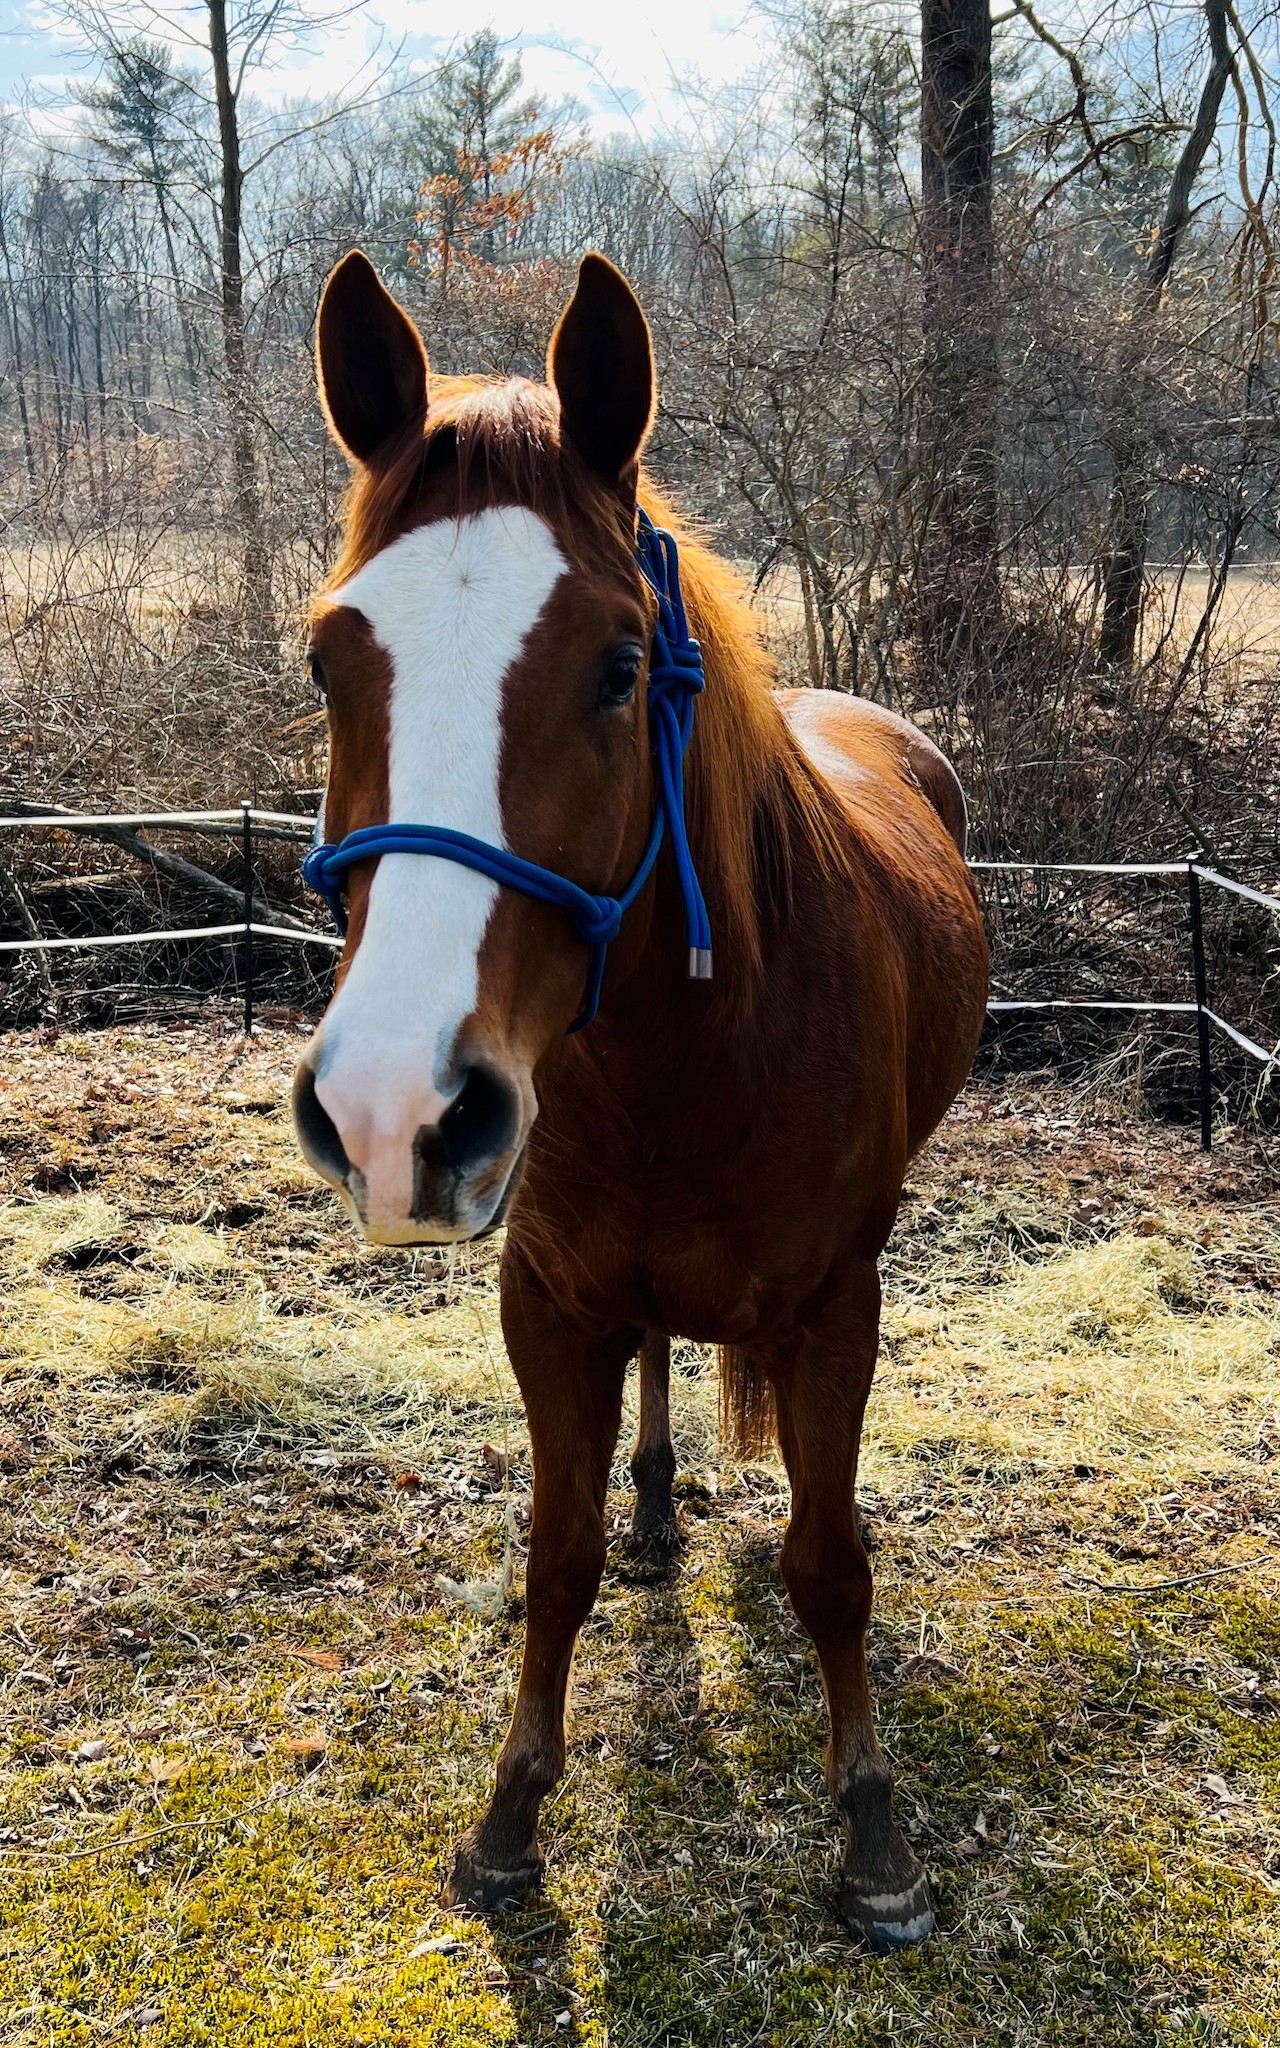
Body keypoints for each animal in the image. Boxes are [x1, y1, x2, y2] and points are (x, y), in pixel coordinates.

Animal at [292, 251, 987, 1949]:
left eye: (617, 667)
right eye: (331, 661)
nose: (395, 1112)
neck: (693, 1047)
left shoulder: (838, 1308)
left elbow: (828, 1562)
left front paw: (874, 1838)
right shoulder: (550, 1302)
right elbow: (557, 1556)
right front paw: (507, 1821)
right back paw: (664, 1508)